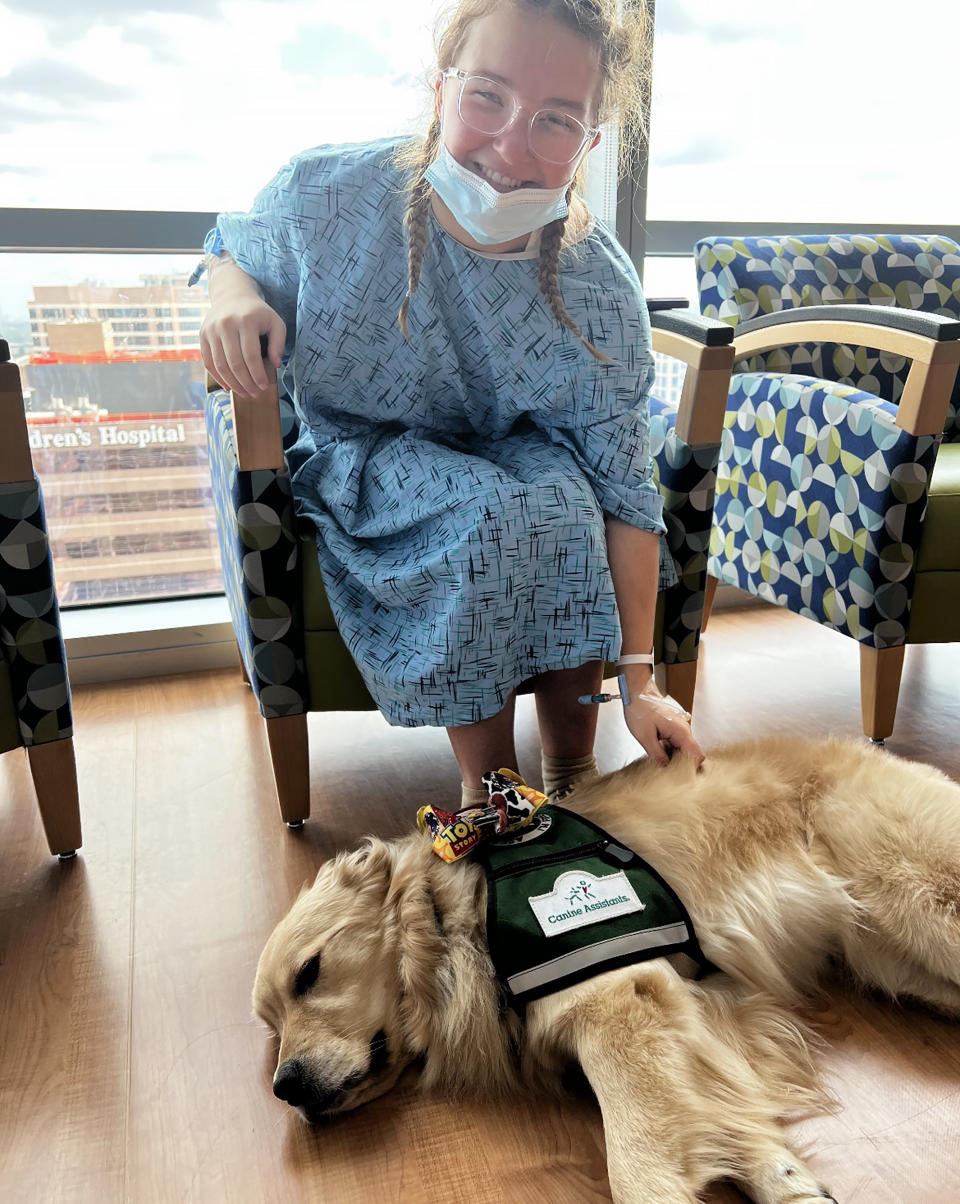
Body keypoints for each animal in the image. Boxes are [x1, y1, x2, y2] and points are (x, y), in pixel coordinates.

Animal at [252, 732, 958, 1204]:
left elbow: (637, 1163)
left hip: (921, 903)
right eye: (270, 1026)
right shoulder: (699, 1017)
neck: (455, 919)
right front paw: (786, 1180)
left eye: (310, 973)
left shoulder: (613, 1002)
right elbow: (724, 1113)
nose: (285, 1088)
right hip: (892, 956)